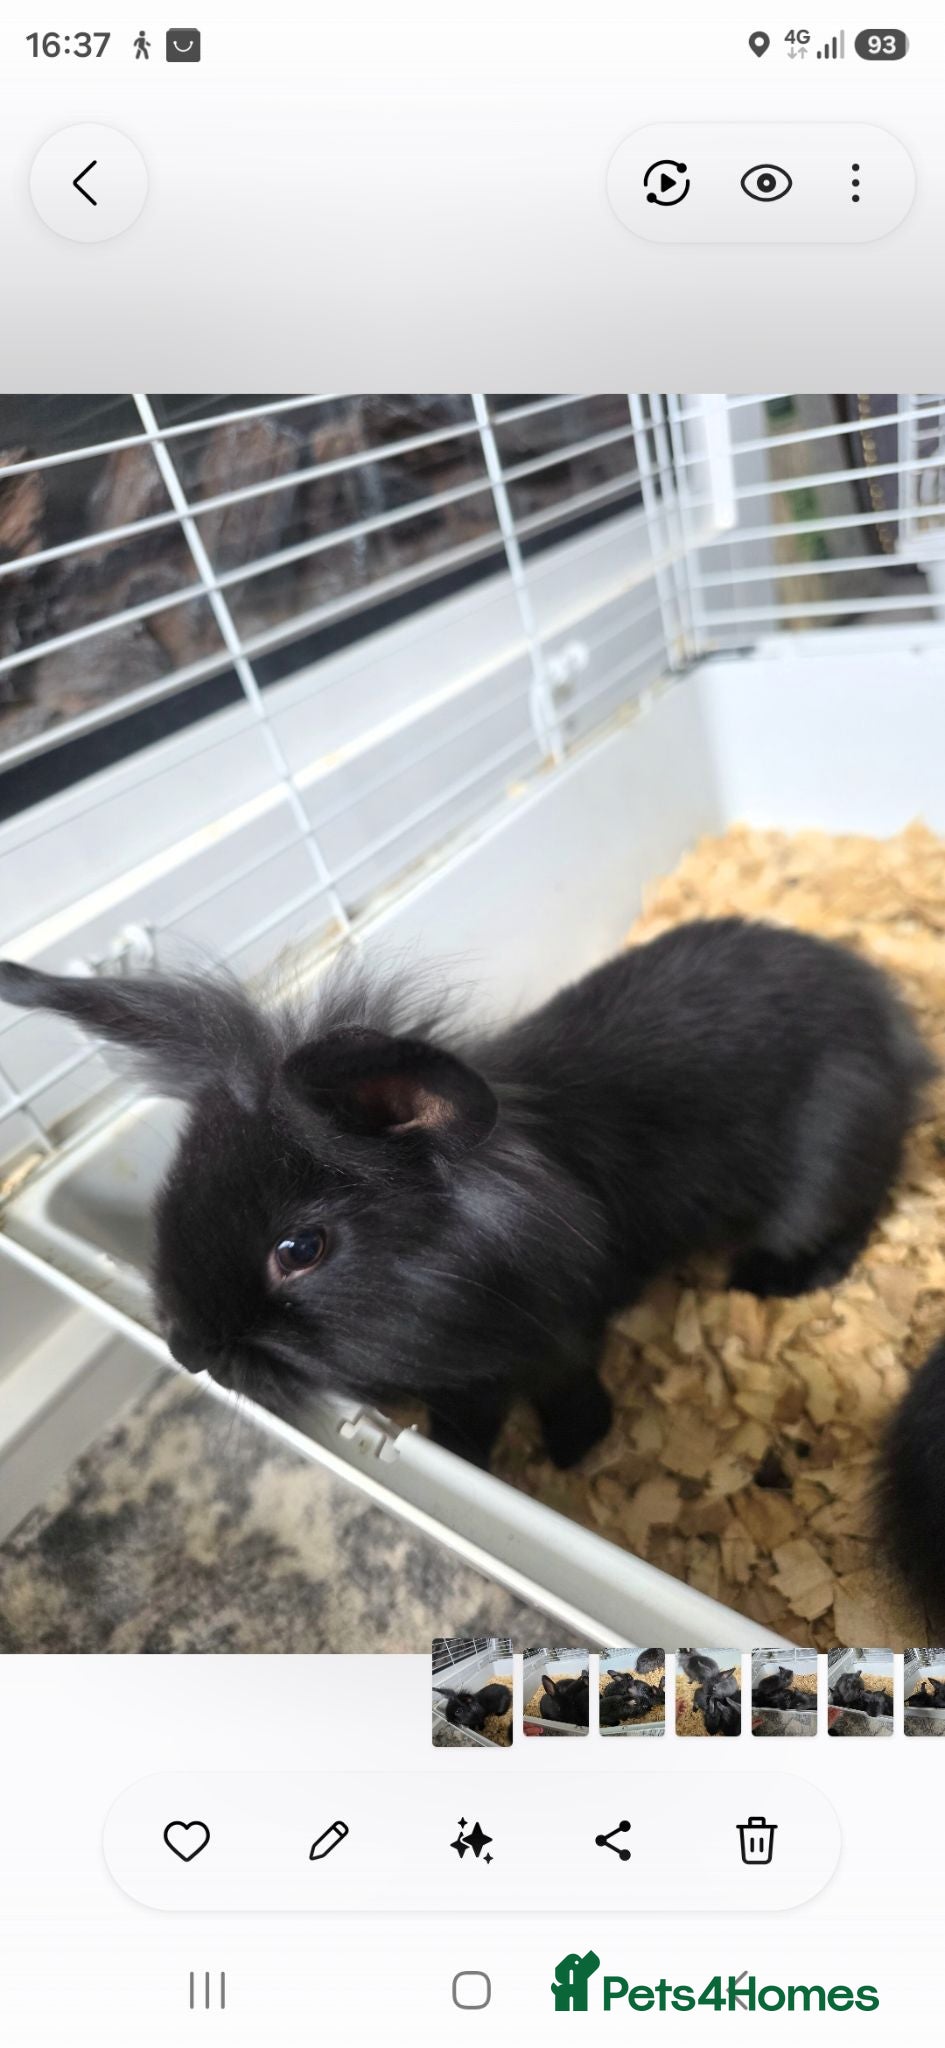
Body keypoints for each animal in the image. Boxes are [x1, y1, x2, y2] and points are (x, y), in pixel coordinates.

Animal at [0, 916, 931, 1470]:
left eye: (300, 1249)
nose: (188, 1351)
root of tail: (891, 1026)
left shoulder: (555, 1342)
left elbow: (555, 1395)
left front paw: (565, 1454)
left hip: (824, 1168)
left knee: (850, 1215)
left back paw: (768, 1281)